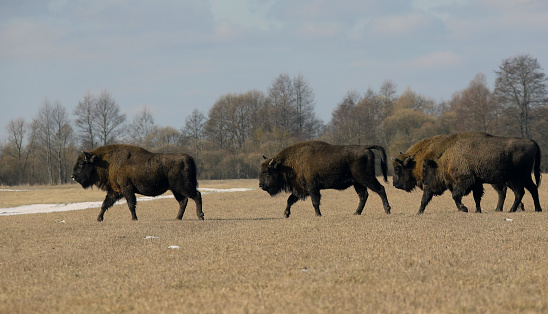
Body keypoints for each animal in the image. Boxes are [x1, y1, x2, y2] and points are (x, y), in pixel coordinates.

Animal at [70, 144, 203, 221]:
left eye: (82, 163)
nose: (72, 176)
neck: (106, 162)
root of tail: (188, 158)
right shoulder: (115, 191)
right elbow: (105, 204)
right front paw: (99, 218)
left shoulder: (126, 189)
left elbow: (130, 204)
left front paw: (134, 218)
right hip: (175, 189)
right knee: (183, 201)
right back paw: (177, 218)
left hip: (183, 187)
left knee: (196, 195)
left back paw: (200, 216)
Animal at [260, 141, 392, 217]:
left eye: (267, 172)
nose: (260, 185)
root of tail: (365, 148)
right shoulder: (300, 189)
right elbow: (290, 200)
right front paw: (286, 214)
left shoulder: (312, 188)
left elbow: (315, 201)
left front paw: (318, 215)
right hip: (358, 182)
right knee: (363, 195)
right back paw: (356, 213)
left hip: (366, 178)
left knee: (380, 189)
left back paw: (387, 210)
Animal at [392, 131, 540, 215]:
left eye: (397, 169)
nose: (394, 184)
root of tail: (532, 142)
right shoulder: (475, 183)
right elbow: (475, 197)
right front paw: (476, 210)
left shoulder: (465, 181)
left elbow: (455, 196)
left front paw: (464, 209)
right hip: (525, 178)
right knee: (532, 189)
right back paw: (537, 209)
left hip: (514, 179)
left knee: (519, 192)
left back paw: (511, 210)